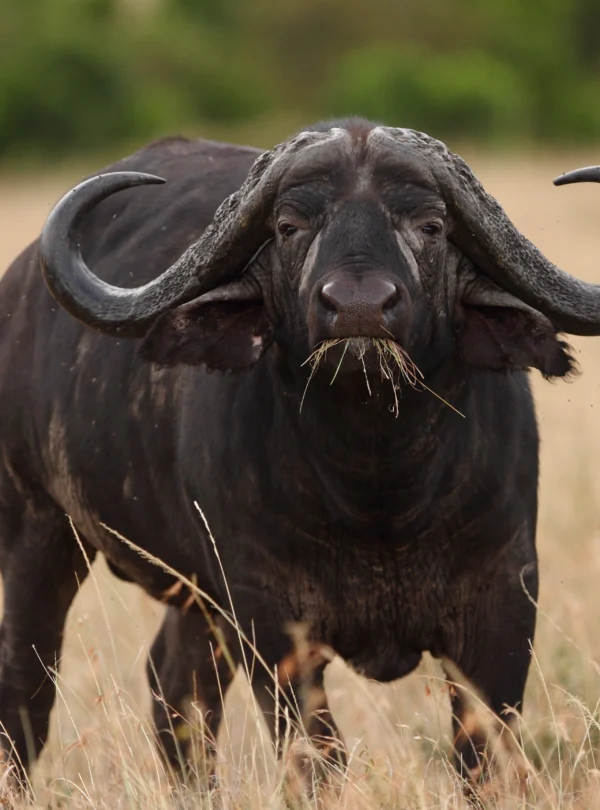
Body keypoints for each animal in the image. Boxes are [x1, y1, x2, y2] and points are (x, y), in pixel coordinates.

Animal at [0, 118, 598, 787]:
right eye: (289, 226)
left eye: (431, 225)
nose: (359, 306)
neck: (380, 489)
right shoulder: (268, 619)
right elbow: (318, 756)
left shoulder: (505, 607)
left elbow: (482, 757)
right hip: (36, 530)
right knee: (28, 688)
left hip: (193, 593)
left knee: (176, 691)